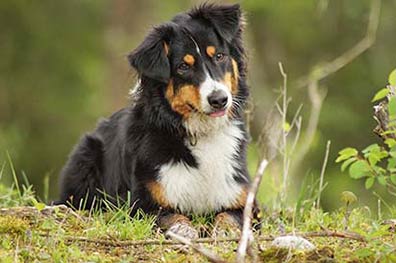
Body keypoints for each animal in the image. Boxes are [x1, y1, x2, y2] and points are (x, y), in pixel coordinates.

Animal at [57, 3, 258, 239]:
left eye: (219, 56)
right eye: (183, 67)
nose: (219, 100)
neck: (201, 133)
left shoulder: (245, 201)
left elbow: (228, 217)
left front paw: (224, 232)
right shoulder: (143, 205)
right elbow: (174, 217)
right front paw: (186, 231)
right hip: (86, 154)